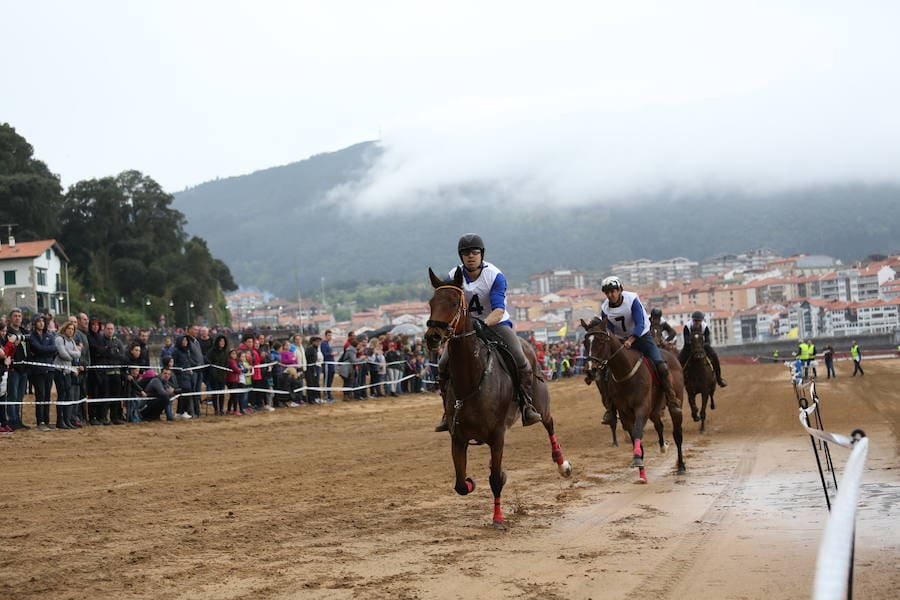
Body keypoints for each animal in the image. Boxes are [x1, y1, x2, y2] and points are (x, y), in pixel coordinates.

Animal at [428, 270, 568, 528]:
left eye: (454, 303)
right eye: (431, 303)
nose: (432, 337)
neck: (471, 381)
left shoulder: (498, 436)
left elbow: (495, 478)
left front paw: (498, 518)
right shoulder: (458, 438)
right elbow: (460, 484)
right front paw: (471, 482)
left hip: (540, 402)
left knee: (549, 423)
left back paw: (562, 464)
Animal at [580, 316, 684, 480]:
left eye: (601, 341)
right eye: (585, 342)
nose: (590, 370)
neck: (626, 373)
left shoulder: (641, 407)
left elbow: (638, 431)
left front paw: (637, 460)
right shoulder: (624, 412)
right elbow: (634, 433)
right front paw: (640, 466)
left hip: (673, 403)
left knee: (677, 433)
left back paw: (680, 466)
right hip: (654, 409)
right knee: (659, 425)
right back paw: (663, 447)